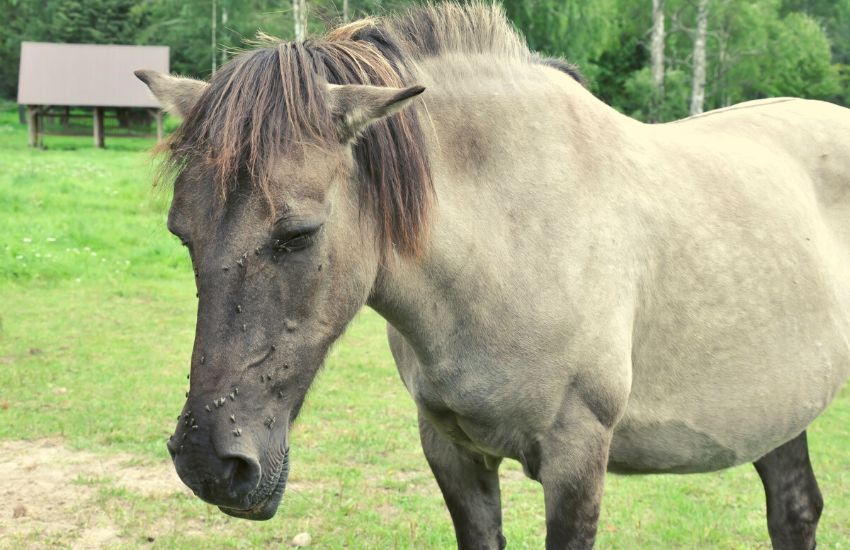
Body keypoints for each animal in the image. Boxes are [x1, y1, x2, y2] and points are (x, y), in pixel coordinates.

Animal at [134, 4, 848, 550]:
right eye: (182, 233)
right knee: (795, 509)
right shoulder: (452, 451)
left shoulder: (576, 460)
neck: (516, 233)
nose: (210, 464)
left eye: (299, 233)